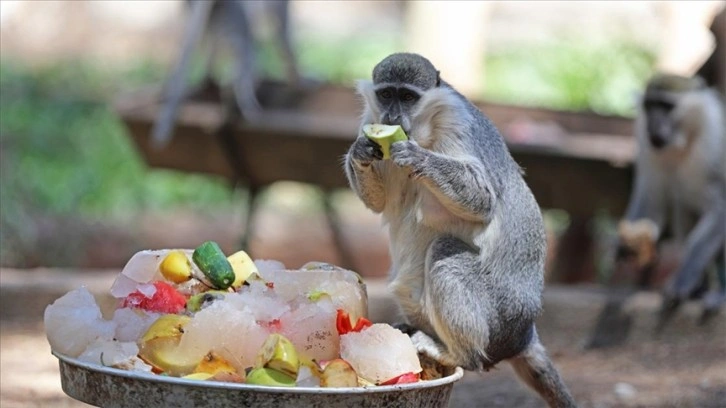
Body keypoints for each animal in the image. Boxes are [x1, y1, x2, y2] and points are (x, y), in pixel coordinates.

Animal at [344, 53, 576, 408]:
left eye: (407, 96)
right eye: (386, 95)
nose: (391, 117)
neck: (424, 131)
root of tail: (524, 334)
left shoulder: (457, 121)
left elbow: (483, 200)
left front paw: (419, 158)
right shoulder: (370, 117)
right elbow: (379, 202)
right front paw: (360, 152)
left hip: (498, 316)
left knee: (446, 253)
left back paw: (459, 355)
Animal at [620, 74, 726, 326]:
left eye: (667, 106)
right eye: (650, 106)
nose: (654, 126)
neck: (686, 139)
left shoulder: (714, 140)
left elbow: (721, 209)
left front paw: (683, 280)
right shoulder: (644, 139)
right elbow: (652, 197)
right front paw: (629, 245)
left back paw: (719, 293)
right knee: (683, 208)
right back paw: (700, 289)